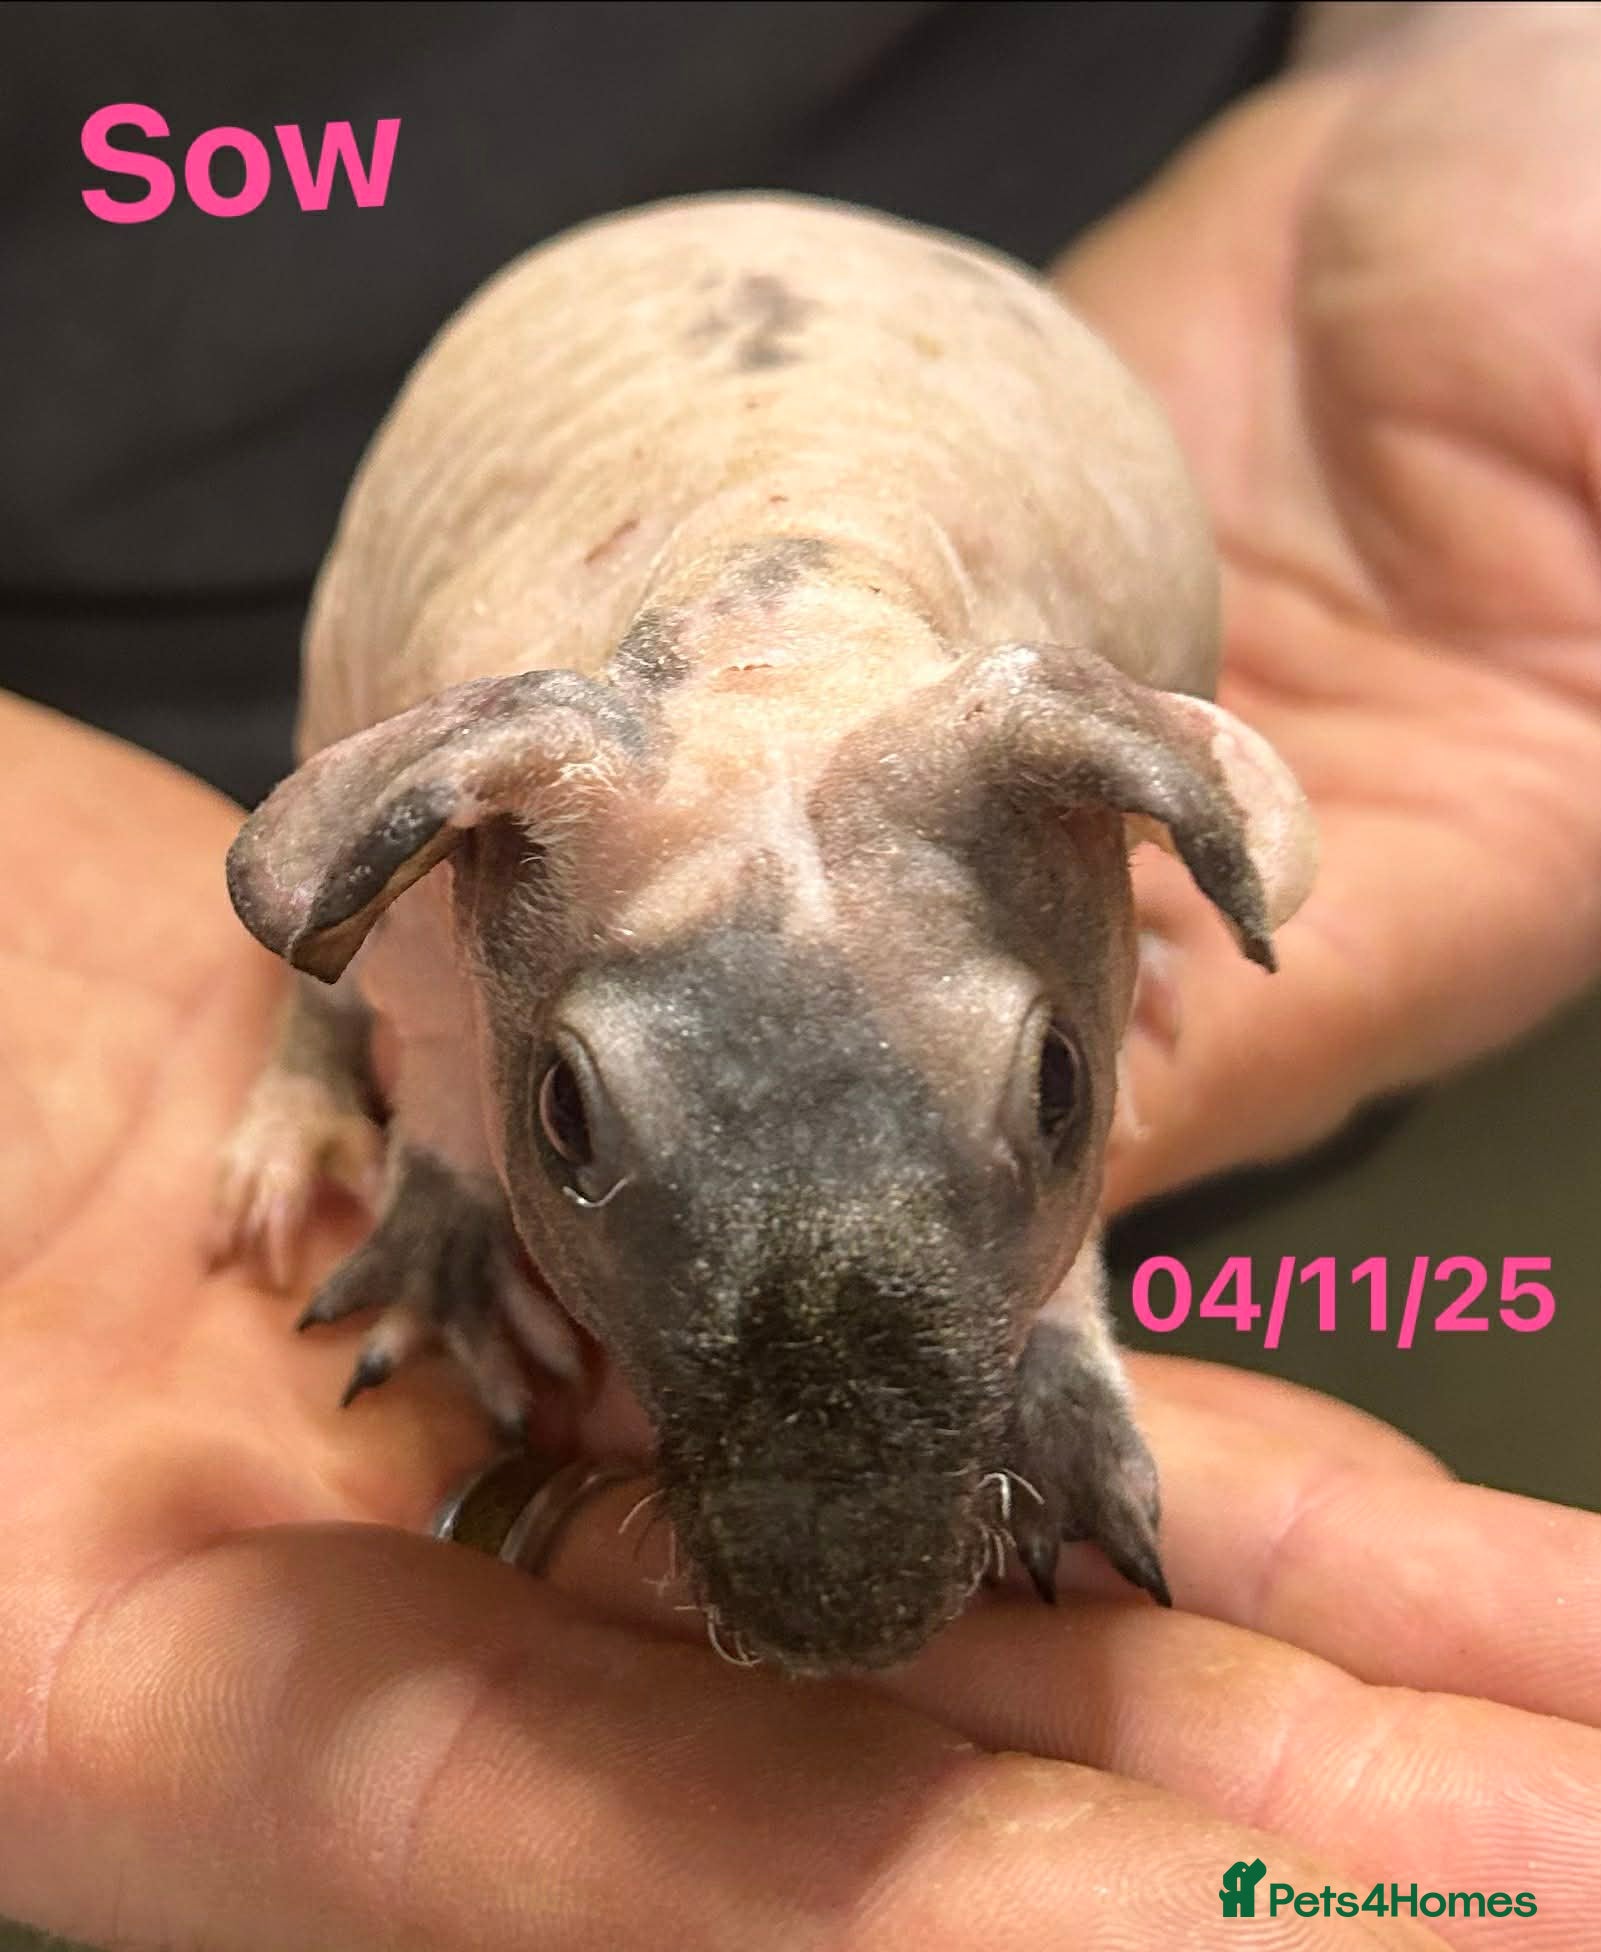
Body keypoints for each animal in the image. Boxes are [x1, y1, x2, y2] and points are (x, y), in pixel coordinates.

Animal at [211, 193, 1316, 1677]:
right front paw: (446, 1245)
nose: (839, 1610)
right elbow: (431, 1023)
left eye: (1059, 1090)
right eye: (561, 1116)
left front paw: (1064, 1405)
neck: (788, 600)